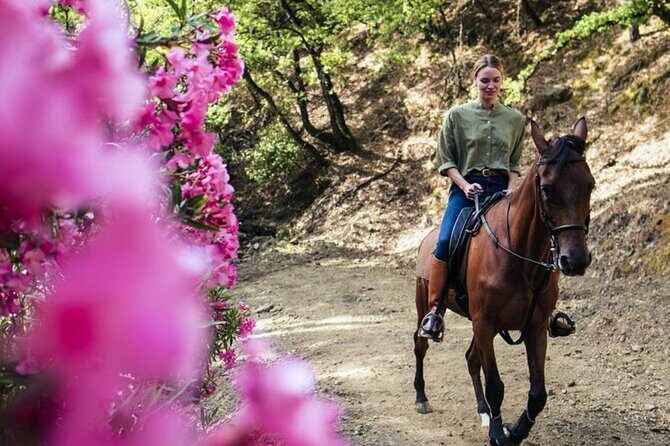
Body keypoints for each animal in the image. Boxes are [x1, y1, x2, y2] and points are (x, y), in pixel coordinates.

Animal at [412, 117, 594, 445]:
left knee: (472, 359)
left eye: (590, 184)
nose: (576, 260)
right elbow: (496, 385)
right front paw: (499, 435)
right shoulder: (485, 323)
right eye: (547, 188)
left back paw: (483, 412)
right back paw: (421, 397)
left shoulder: (535, 327)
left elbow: (537, 394)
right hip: (429, 305)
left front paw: (514, 431)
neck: (519, 253)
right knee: (421, 345)